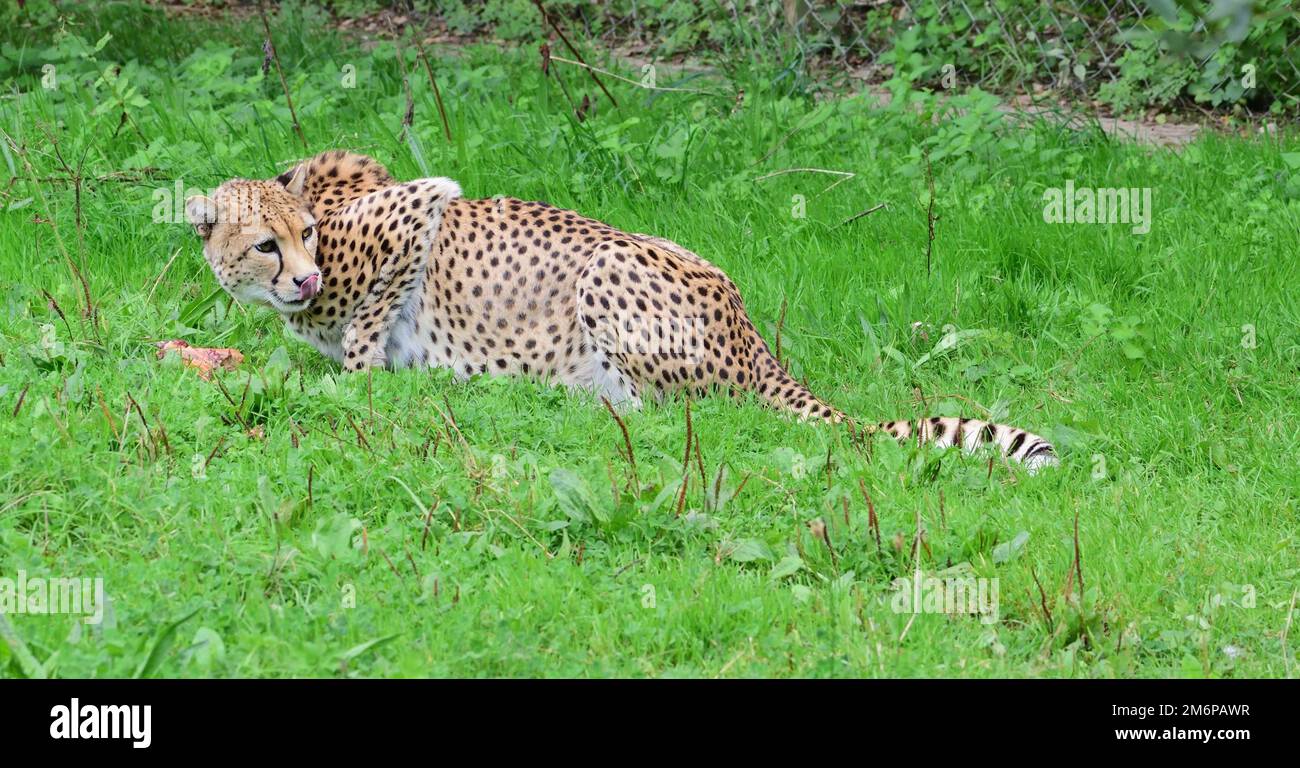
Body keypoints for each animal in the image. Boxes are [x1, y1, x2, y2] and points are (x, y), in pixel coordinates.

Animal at [183, 152, 1055, 467]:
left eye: (304, 237)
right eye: (266, 245)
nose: (302, 282)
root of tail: (751, 335)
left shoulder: (416, 210)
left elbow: (369, 329)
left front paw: (366, 378)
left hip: (605, 265)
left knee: (669, 413)